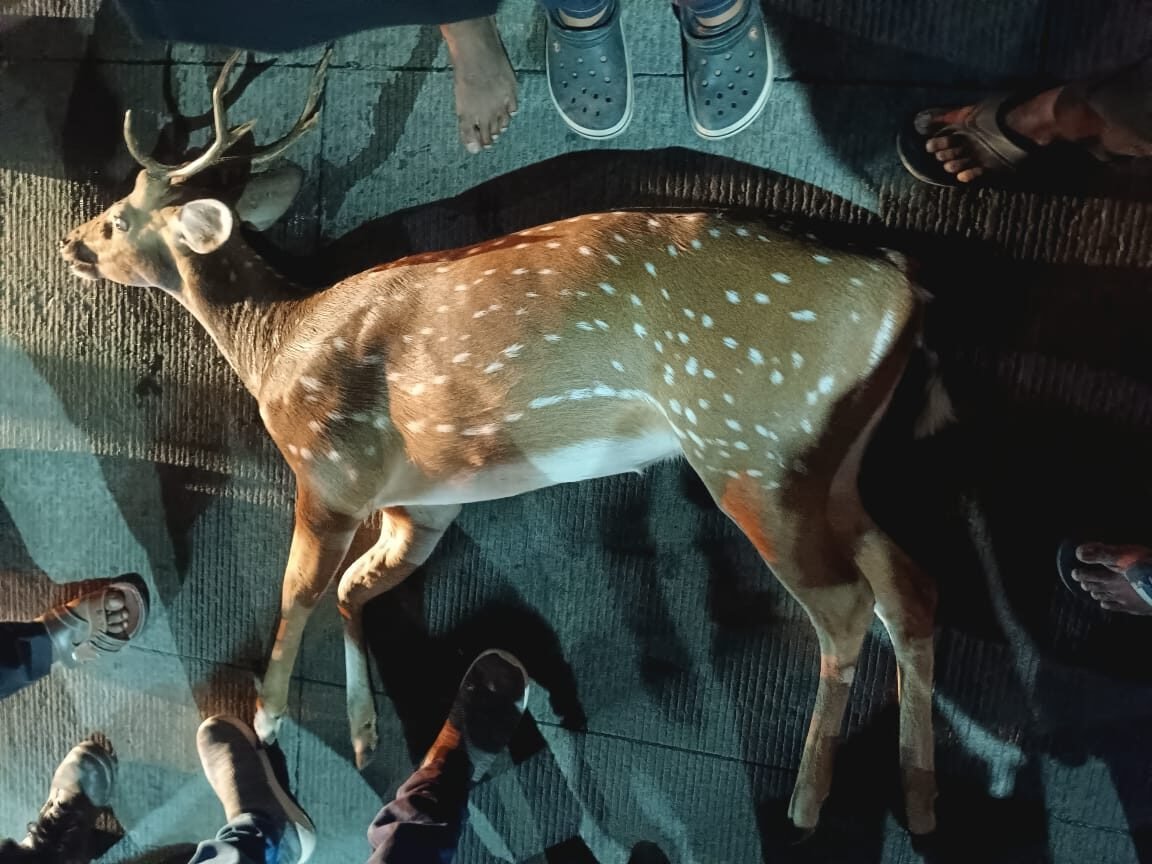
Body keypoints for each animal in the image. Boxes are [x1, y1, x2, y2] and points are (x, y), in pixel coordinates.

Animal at [60, 49, 948, 836]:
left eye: (119, 216)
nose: (72, 242)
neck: (276, 347)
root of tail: (905, 285)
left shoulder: (332, 470)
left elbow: (301, 589)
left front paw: (271, 716)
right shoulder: (422, 504)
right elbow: (355, 589)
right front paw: (365, 733)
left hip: (747, 439)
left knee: (845, 606)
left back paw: (807, 799)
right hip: (829, 458)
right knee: (906, 584)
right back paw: (918, 794)